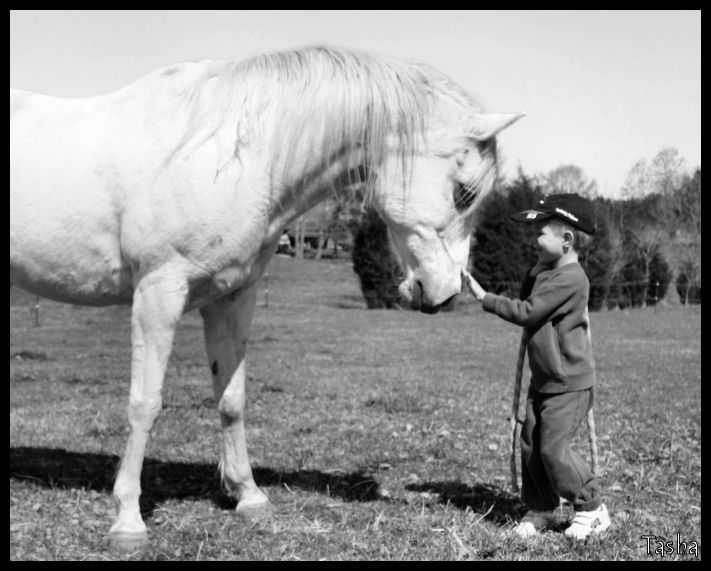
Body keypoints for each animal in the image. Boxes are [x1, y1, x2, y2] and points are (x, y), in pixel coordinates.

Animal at [9, 45, 524, 548]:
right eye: (464, 192)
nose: (445, 293)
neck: (227, 153)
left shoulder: (233, 296)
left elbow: (231, 399)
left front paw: (248, 496)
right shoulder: (158, 293)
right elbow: (145, 404)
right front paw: (128, 521)